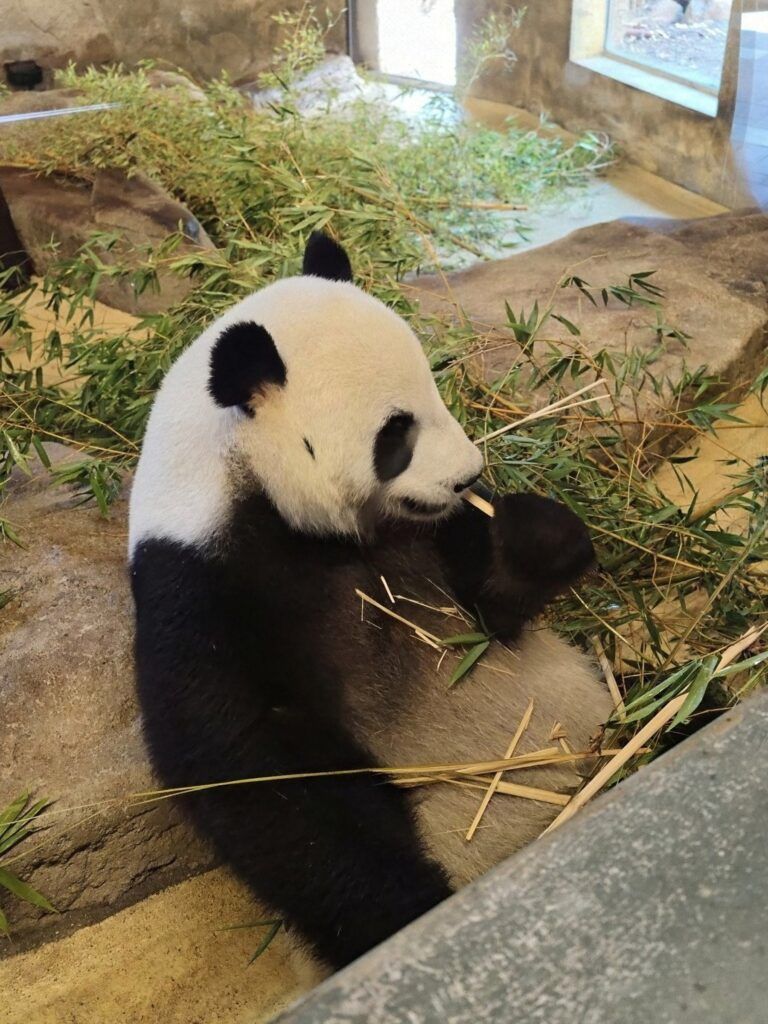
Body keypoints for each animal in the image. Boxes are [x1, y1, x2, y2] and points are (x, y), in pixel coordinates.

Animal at [129, 232, 613, 978]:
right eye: (396, 434)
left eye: (436, 389)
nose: (469, 475)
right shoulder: (194, 585)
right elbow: (248, 764)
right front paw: (407, 915)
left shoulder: (424, 538)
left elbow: (492, 615)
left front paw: (537, 536)